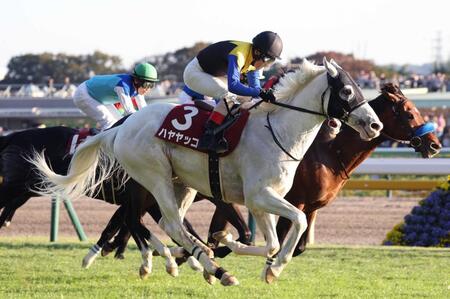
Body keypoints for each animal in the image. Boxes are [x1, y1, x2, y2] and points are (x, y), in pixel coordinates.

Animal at [31, 58, 384, 286]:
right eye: (347, 92)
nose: (375, 125)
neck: (278, 131)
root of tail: (122, 126)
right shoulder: (259, 195)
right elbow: (296, 222)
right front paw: (263, 263)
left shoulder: (262, 201)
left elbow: (271, 241)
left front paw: (251, 257)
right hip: (155, 176)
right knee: (170, 223)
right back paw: (212, 268)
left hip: (182, 183)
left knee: (167, 224)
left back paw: (195, 260)